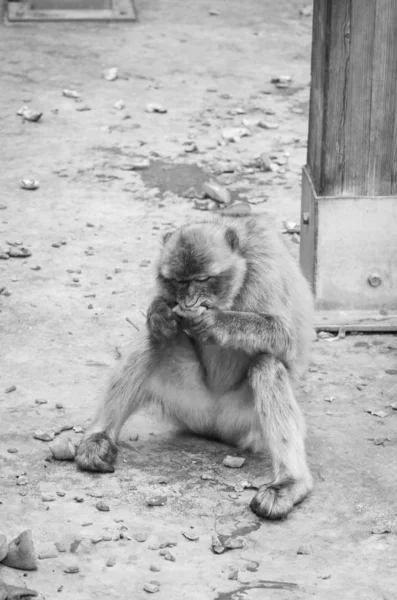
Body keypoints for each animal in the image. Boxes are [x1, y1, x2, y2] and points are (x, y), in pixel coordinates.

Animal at [76, 211, 314, 520]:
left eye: (202, 279)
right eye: (178, 281)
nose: (188, 301)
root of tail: (214, 427)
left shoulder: (266, 264)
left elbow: (285, 337)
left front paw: (214, 322)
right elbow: (160, 323)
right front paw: (159, 313)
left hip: (244, 421)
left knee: (267, 363)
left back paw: (291, 483)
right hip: (189, 405)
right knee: (155, 340)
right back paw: (100, 437)